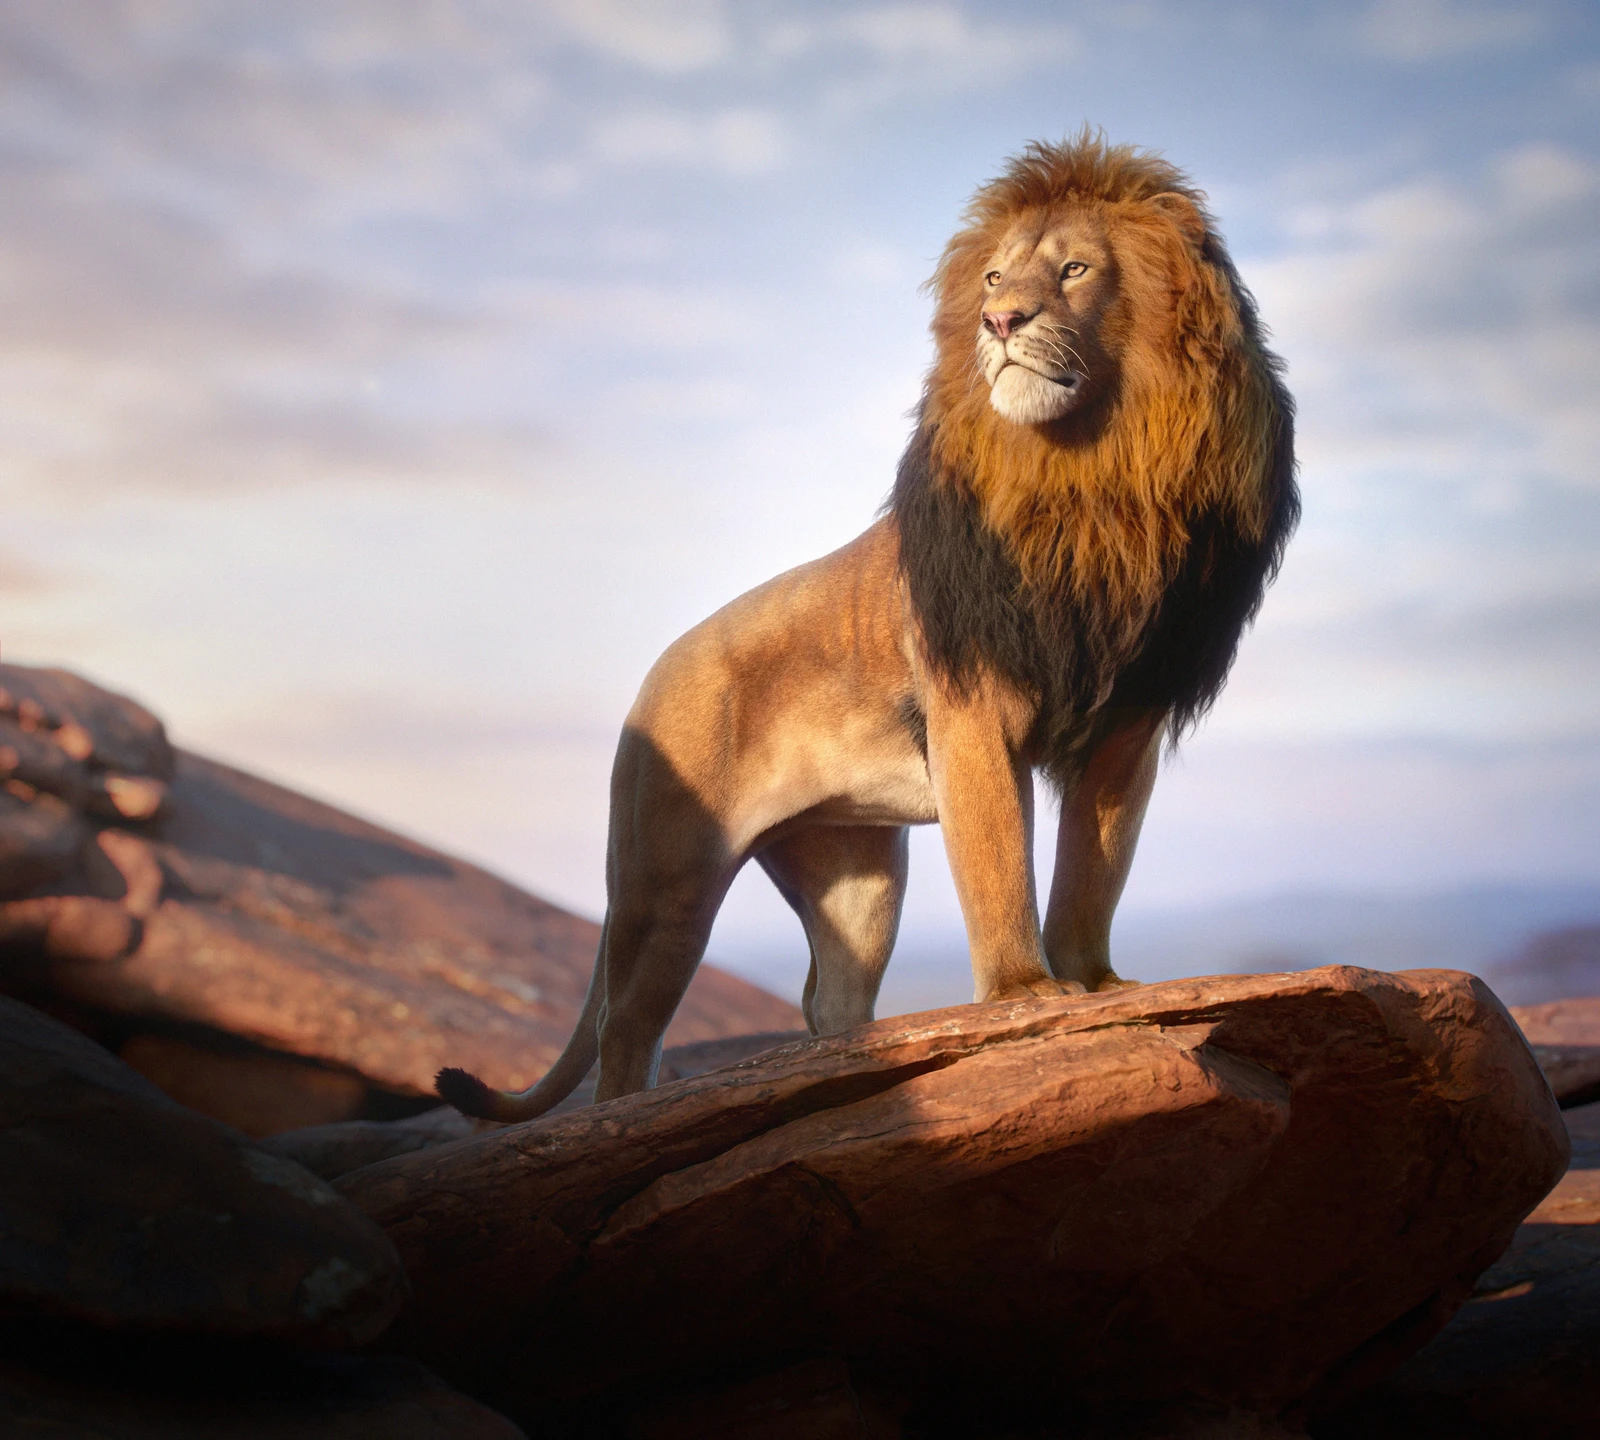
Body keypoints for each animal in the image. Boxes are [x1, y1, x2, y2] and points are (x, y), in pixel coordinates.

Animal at [438, 134, 1298, 1121]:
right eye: (994, 276)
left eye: (1076, 269)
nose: (1000, 322)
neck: (1091, 476)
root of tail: (654, 675)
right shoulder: (972, 708)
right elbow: (1000, 861)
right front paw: (1023, 995)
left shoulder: (1130, 720)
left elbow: (1095, 868)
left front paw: (1100, 985)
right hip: (666, 884)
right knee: (626, 1033)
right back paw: (626, 1114)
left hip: (857, 879)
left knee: (830, 1001)